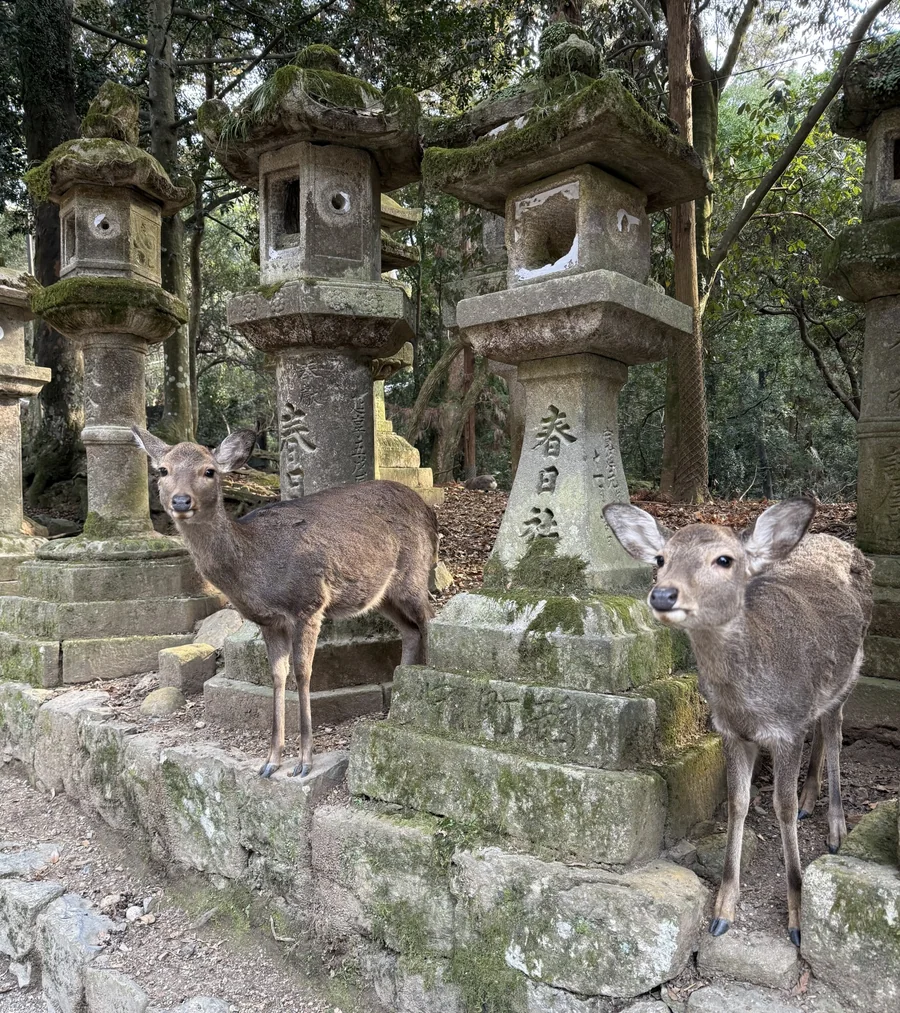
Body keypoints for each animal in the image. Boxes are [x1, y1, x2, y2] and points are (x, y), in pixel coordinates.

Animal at [133, 427, 438, 780]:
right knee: (410, 630)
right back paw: (396, 702)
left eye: (208, 471)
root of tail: (429, 511)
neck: (253, 567)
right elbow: (277, 676)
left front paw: (304, 761)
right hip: (382, 593)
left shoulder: (308, 604)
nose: (181, 501)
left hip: (415, 573)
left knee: (429, 618)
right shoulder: (268, 621)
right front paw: (271, 761)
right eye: (162, 470)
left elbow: (303, 673)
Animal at [602, 498, 873, 947]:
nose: (663, 594)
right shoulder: (731, 732)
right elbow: (738, 803)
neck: (750, 704)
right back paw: (810, 799)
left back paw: (835, 828)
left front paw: (797, 917)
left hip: (850, 672)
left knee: (834, 731)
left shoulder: (786, 729)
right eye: (660, 559)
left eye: (724, 559)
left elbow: (780, 807)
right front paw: (722, 912)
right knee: (821, 728)